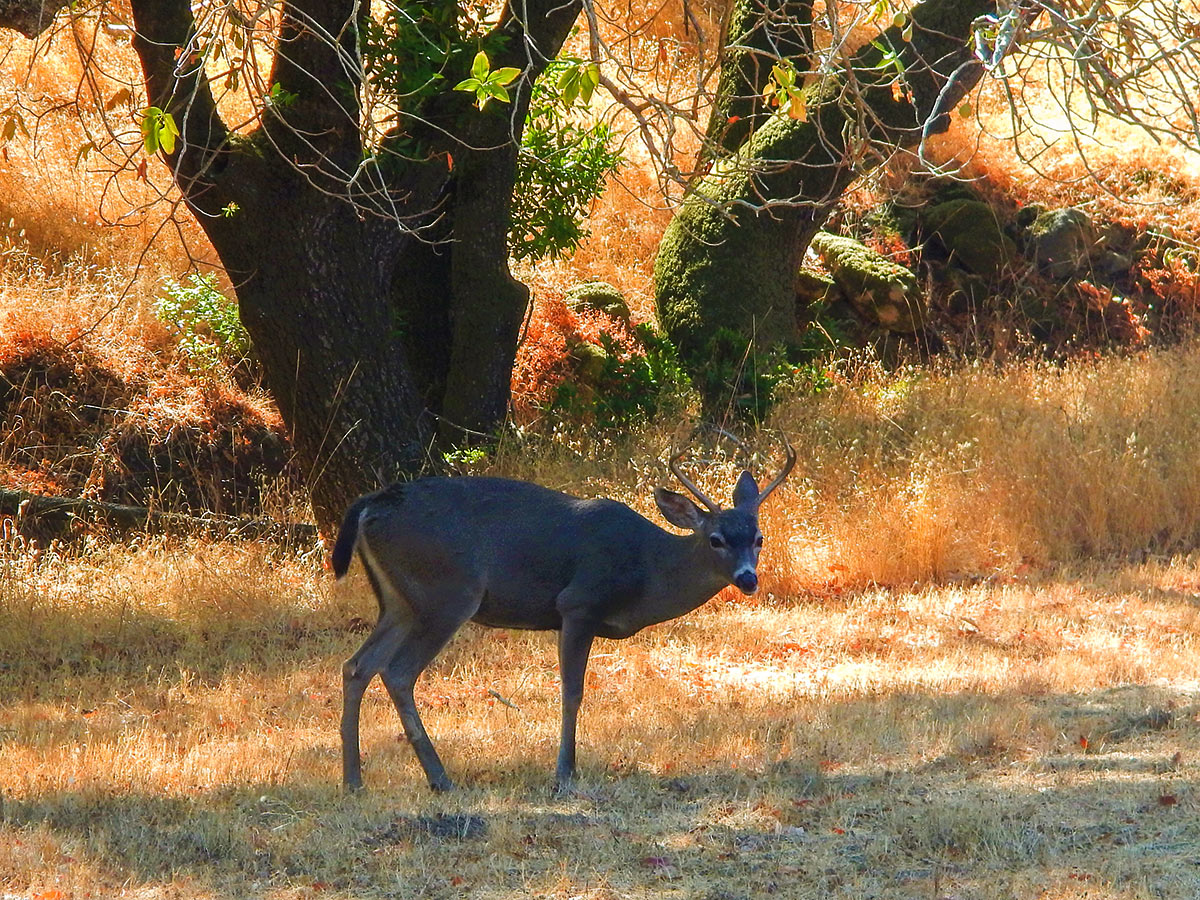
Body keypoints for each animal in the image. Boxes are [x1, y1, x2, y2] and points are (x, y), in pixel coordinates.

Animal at [331, 439, 796, 796]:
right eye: (716, 539)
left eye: (758, 538)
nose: (748, 578)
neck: (647, 568)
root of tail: (370, 506)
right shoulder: (578, 604)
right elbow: (572, 692)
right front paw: (565, 773)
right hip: (447, 590)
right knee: (397, 671)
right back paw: (439, 778)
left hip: (400, 602)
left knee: (357, 665)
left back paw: (354, 780)